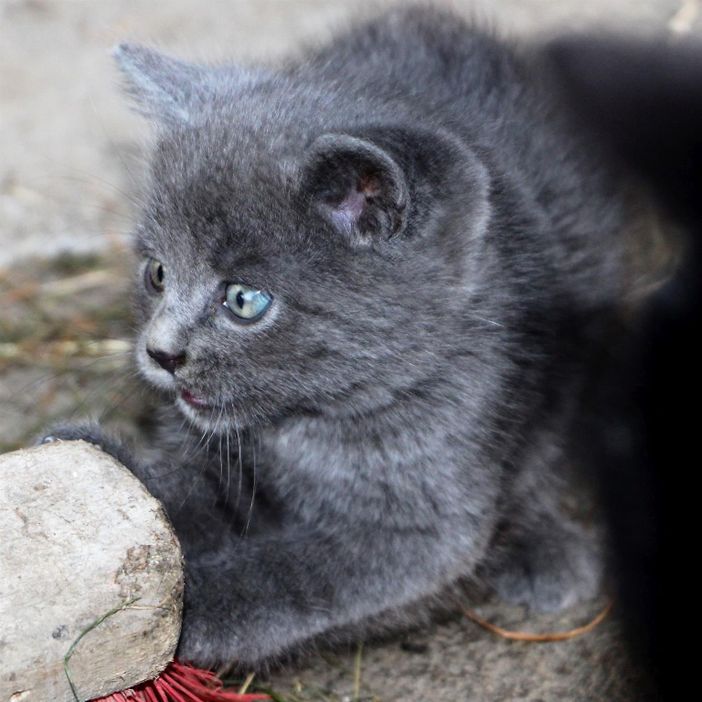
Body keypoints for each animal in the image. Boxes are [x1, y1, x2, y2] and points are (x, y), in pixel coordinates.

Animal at [48, 6, 632, 672]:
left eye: (244, 300)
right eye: (158, 273)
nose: (161, 353)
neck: (311, 426)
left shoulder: (421, 527)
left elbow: (297, 575)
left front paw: (183, 610)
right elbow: (188, 501)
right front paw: (105, 475)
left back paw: (545, 548)